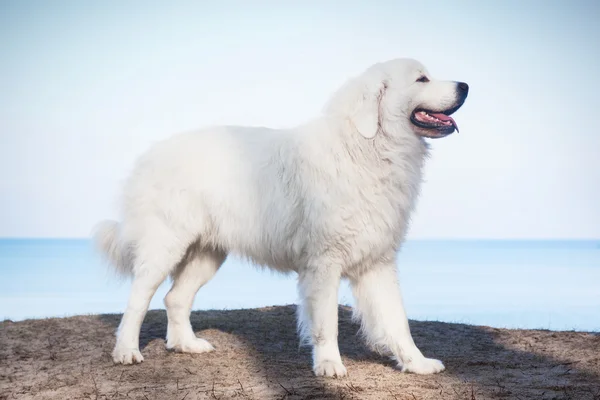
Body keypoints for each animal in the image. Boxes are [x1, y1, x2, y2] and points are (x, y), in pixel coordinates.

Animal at [94, 57, 468, 376]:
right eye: (422, 79)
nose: (465, 86)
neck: (367, 148)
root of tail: (149, 155)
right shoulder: (324, 263)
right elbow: (327, 323)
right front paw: (329, 365)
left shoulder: (378, 262)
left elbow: (397, 321)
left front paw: (417, 363)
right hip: (165, 245)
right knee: (138, 299)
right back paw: (126, 351)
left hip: (207, 254)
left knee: (175, 298)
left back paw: (186, 345)